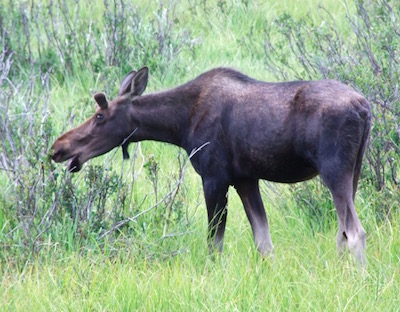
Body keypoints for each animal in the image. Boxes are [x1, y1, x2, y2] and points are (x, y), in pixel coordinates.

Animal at [50, 67, 372, 264]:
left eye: (99, 117)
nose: (58, 148)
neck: (179, 125)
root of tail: (364, 107)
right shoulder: (245, 179)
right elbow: (264, 242)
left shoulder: (214, 176)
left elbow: (214, 243)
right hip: (353, 171)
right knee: (342, 232)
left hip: (334, 171)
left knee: (356, 232)